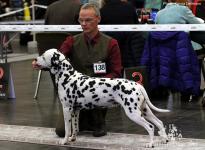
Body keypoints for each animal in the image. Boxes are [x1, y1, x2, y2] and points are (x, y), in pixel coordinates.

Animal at [35, 48, 170, 148]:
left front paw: (64, 141)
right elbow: (75, 127)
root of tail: (137, 85)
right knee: (159, 122)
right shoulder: (75, 110)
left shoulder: (67, 109)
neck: (67, 76)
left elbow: (67, 129)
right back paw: (164, 140)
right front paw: (73, 138)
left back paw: (151, 144)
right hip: (145, 110)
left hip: (133, 113)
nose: (35, 59)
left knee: (150, 127)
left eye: (43, 56)